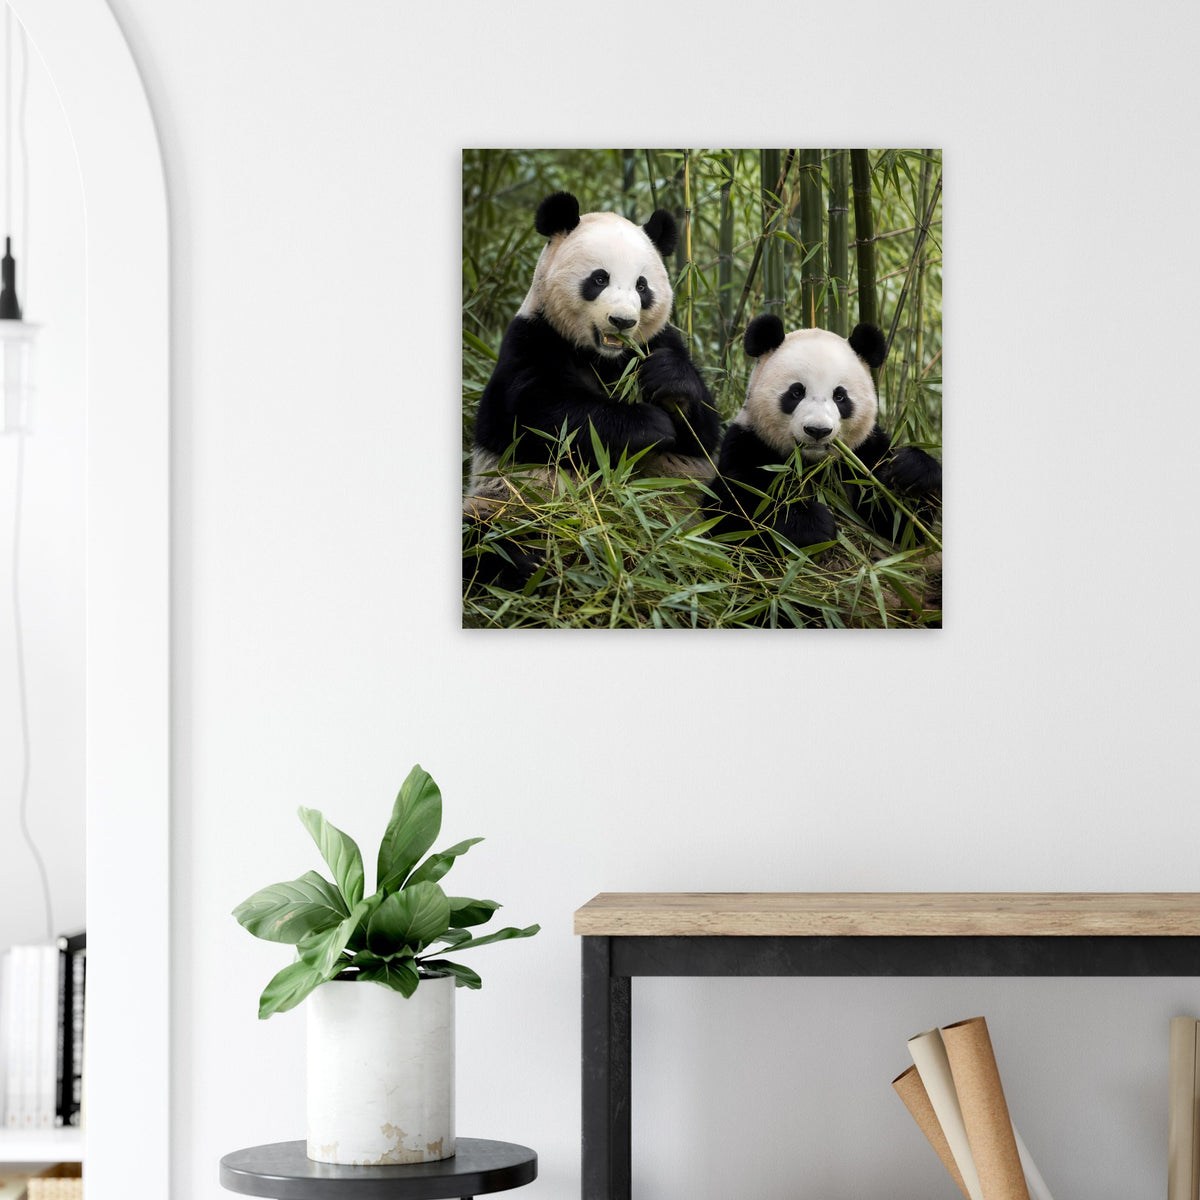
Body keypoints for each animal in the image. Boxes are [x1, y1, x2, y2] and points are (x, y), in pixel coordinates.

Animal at [466, 190, 721, 515]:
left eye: (641, 286)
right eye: (600, 279)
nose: (622, 321)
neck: (603, 357)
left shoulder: (658, 341)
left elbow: (704, 434)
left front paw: (668, 378)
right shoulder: (531, 340)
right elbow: (546, 419)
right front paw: (651, 424)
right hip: (505, 505)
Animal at [707, 314, 941, 553]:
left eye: (840, 396)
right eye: (796, 392)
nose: (817, 430)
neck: (813, 465)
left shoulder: (863, 454)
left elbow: (900, 523)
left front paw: (912, 471)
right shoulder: (749, 444)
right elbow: (736, 513)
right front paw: (811, 523)